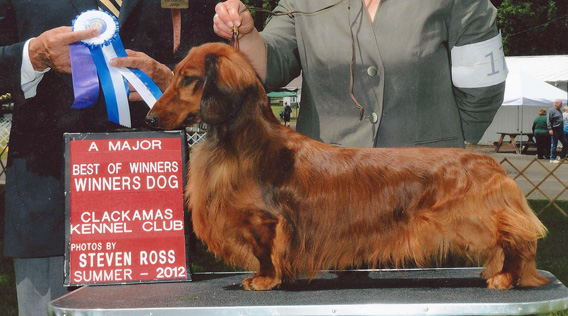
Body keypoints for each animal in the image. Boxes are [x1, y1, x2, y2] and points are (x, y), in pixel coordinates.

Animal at [145, 42, 552, 292]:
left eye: (189, 79)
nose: (149, 119)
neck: (243, 144)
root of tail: (489, 162)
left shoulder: (264, 222)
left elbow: (265, 254)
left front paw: (263, 280)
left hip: (472, 219)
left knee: (515, 239)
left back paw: (506, 277)